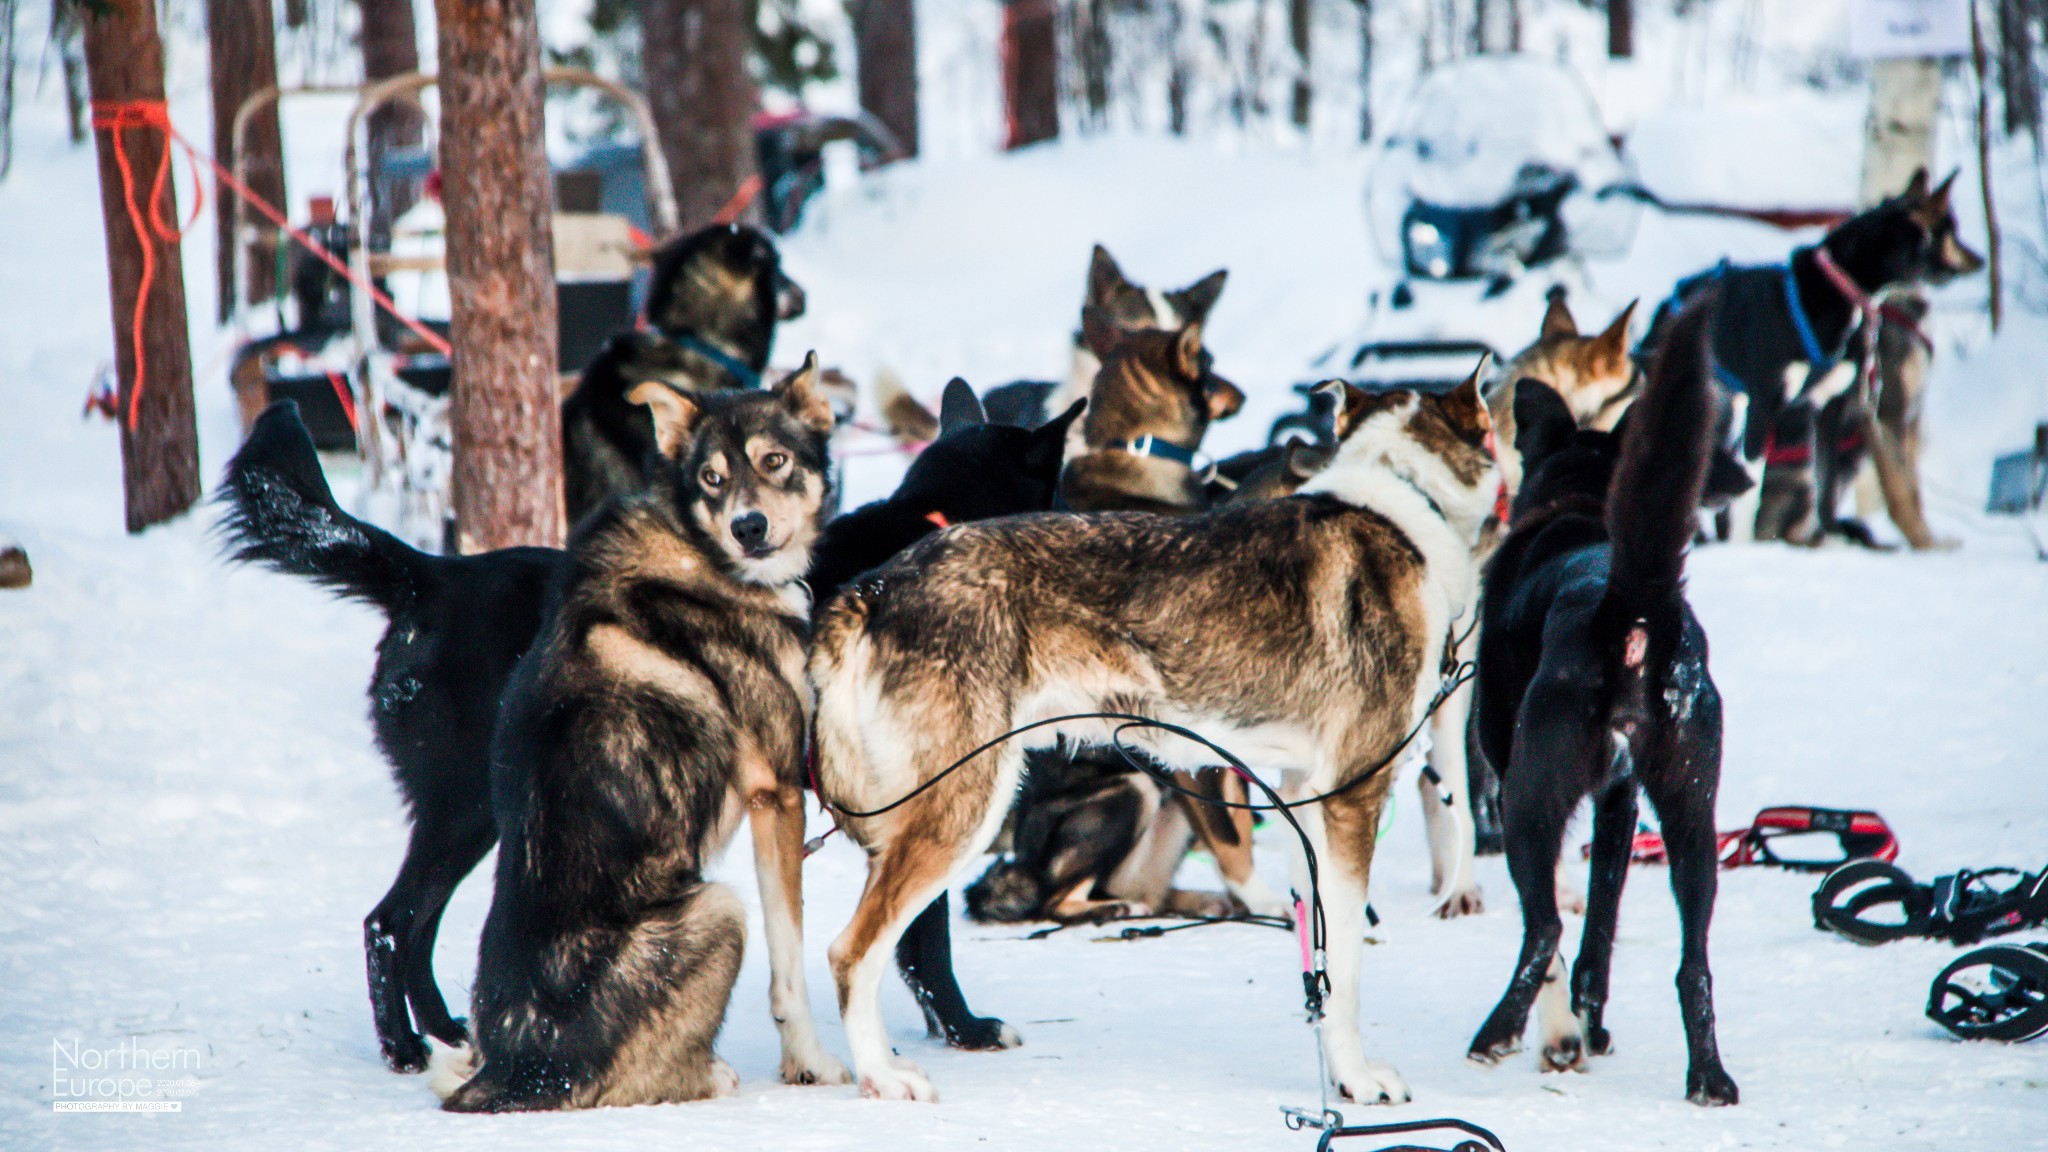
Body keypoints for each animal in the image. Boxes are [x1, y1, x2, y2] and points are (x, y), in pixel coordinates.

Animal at [216, 389, 1089, 1074]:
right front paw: (965, 1029)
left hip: (485, 816)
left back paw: (444, 1033)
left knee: (416, 924)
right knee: (390, 923)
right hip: (465, 808)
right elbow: (926, 941)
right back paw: (401, 1048)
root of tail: (430, 575)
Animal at [1466, 291, 1736, 1098]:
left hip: (1529, 799)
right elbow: (1599, 939)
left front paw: (1561, 1037)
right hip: (1691, 819)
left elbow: (1565, 935)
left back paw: (1497, 1033)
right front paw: (1588, 1027)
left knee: (1542, 930)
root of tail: (1632, 607)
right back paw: (1709, 1077)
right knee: (1693, 966)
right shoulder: (1621, 803)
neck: (1578, 508)